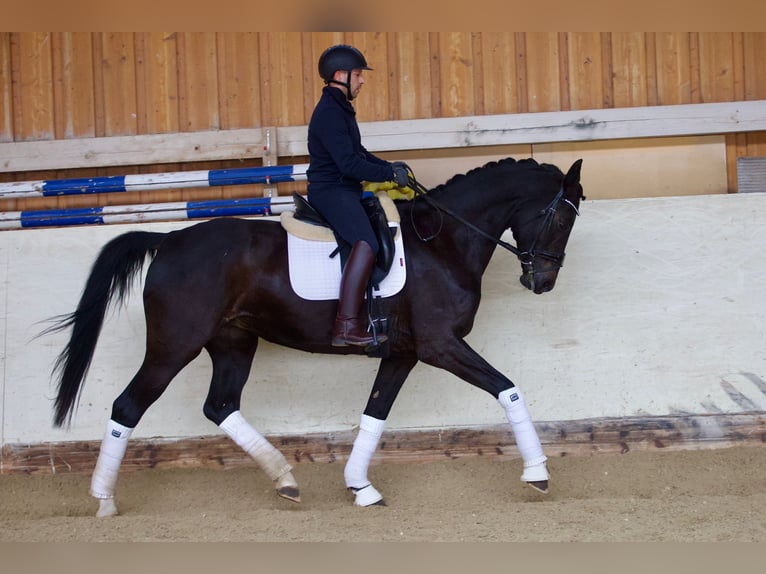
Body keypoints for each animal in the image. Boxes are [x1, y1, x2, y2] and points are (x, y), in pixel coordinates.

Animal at [45, 156, 584, 516]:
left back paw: (285, 479)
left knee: (220, 406)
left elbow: (375, 414)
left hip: (233, 342)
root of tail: (169, 239)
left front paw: (360, 487)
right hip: (173, 346)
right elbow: (508, 390)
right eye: (560, 216)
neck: (443, 243)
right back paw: (104, 500)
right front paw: (537, 474)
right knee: (127, 407)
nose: (543, 282)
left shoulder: (404, 353)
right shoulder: (441, 346)